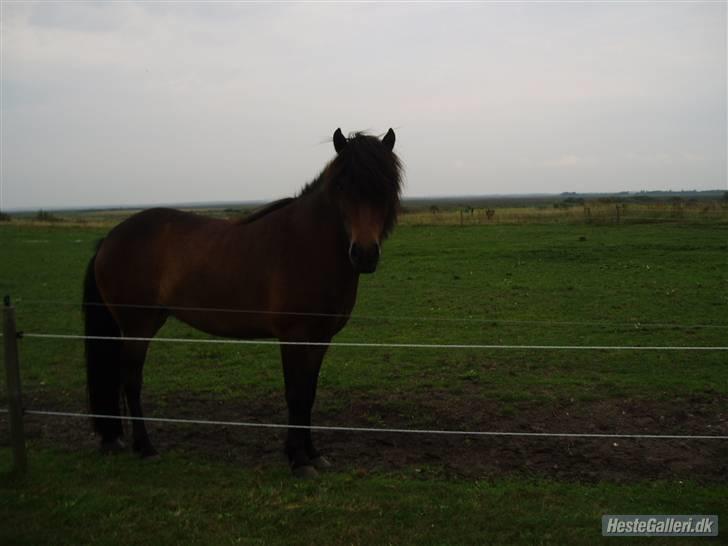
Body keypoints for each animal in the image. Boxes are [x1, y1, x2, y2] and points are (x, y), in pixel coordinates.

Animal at [85, 127, 404, 476]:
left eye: (386, 187)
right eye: (342, 186)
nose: (364, 254)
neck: (309, 245)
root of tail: (109, 239)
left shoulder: (321, 338)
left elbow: (309, 392)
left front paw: (313, 454)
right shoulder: (293, 337)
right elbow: (296, 394)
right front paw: (298, 460)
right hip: (138, 326)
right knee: (130, 380)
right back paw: (146, 447)